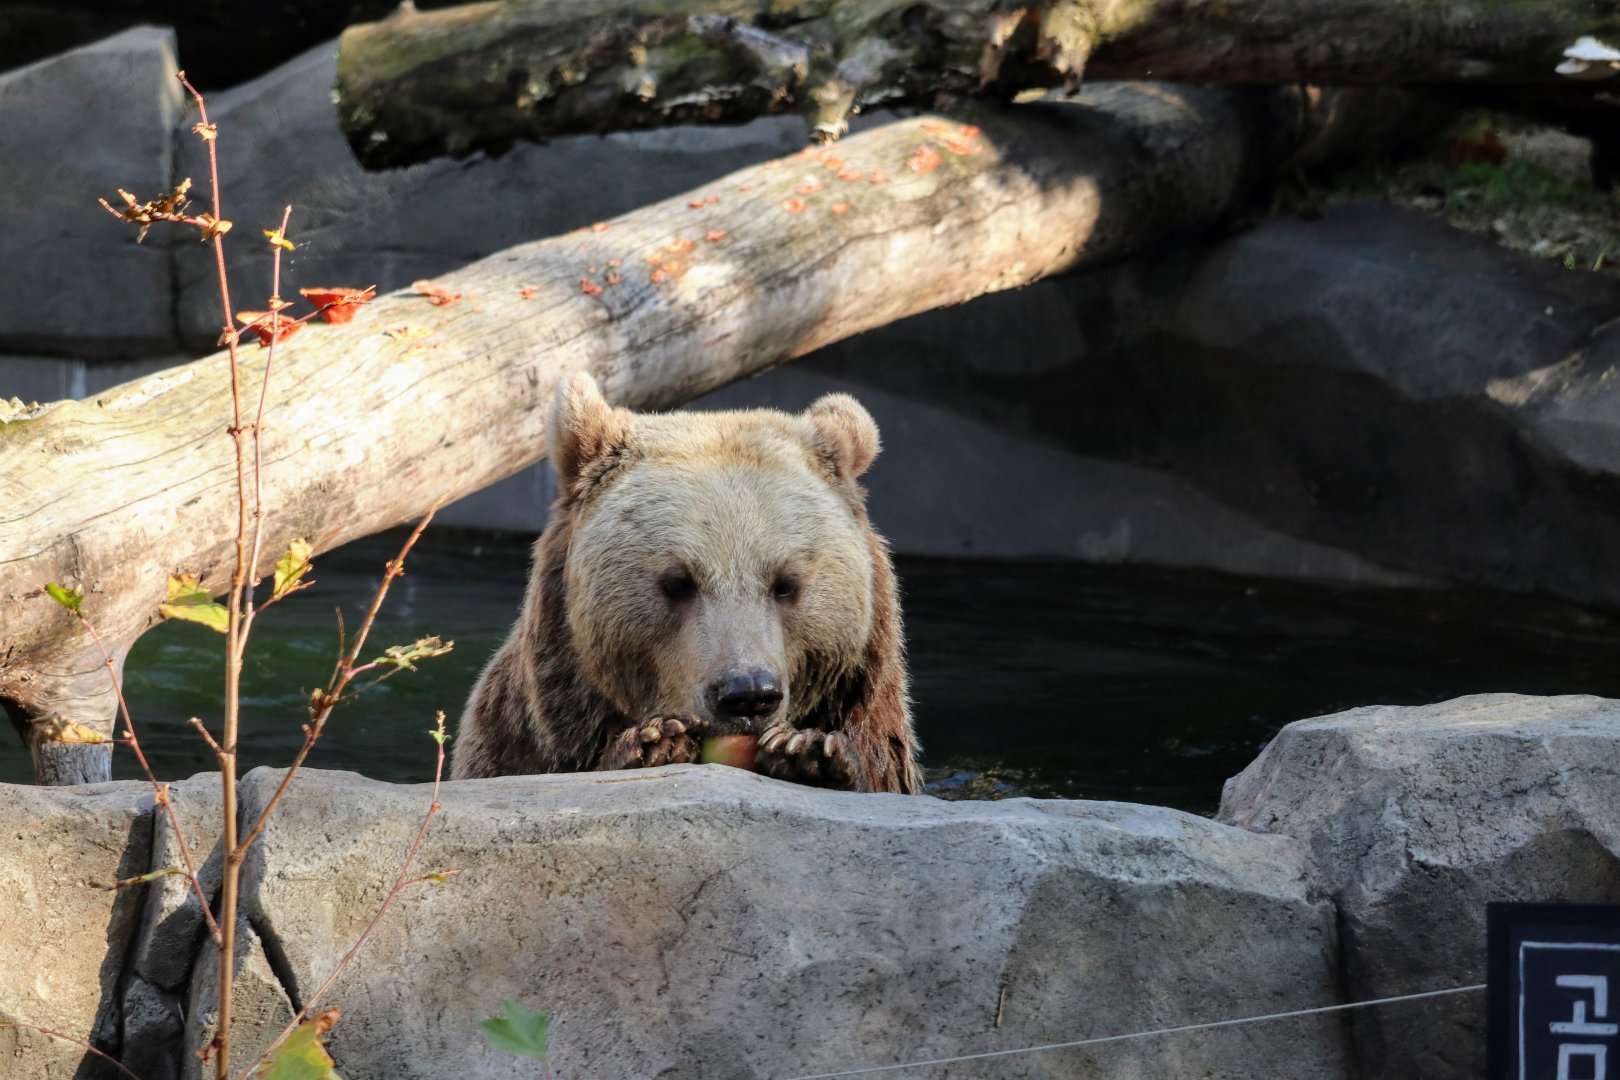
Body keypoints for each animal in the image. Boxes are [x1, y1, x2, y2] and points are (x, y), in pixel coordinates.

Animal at [451, 371, 921, 794]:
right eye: (677, 582)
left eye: (786, 583)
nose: (747, 694)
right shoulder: (518, 742)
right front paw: (652, 743)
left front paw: (808, 751)